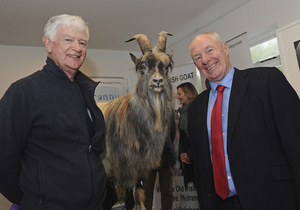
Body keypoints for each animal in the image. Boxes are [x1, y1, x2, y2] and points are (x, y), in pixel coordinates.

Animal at [98, 30, 173, 208]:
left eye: (167, 67)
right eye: (142, 66)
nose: (157, 81)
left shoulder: (141, 170)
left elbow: (139, 197)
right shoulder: (126, 168)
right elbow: (130, 201)